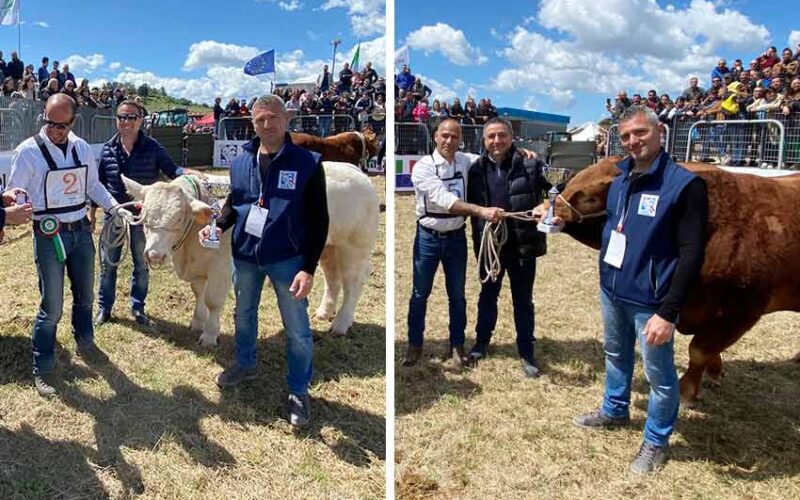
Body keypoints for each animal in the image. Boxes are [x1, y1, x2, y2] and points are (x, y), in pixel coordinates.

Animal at [121, 162, 378, 346]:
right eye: (144, 215)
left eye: (177, 218)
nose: (154, 255)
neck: (188, 248)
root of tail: (355, 170)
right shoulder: (199, 267)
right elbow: (198, 292)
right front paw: (197, 321)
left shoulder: (221, 265)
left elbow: (212, 299)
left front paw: (209, 335)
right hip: (327, 247)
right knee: (333, 279)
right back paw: (324, 312)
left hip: (354, 246)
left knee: (353, 282)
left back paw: (341, 323)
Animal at [552, 155, 800, 402]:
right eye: (573, 181)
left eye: (590, 198)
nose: (546, 209)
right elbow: (708, 349)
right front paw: (715, 371)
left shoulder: (742, 312)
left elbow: (699, 350)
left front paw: (687, 391)